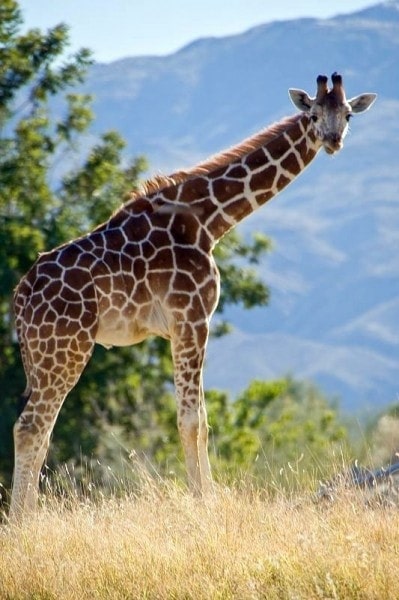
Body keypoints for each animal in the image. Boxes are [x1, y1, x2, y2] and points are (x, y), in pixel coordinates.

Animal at [10, 74, 378, 516]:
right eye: (313, 114)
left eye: (348, 114)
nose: (332, 140)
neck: (210, 219)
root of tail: (21, 295)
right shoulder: (192, 317)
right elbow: (191, 420)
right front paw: (204, 503)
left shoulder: (184, 325)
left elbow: (200, 417)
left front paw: (208, 497)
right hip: (66, 350)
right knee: (31, 427)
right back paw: (22, 522)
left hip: (44, 356)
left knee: (40, 430)